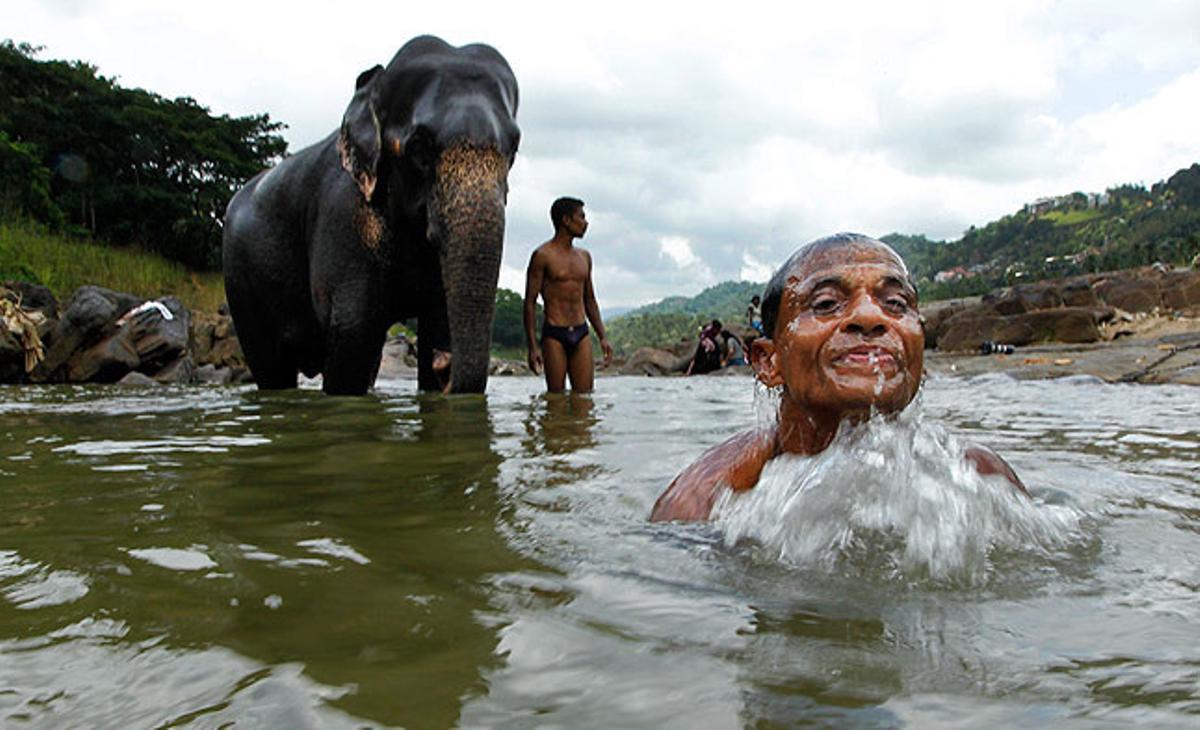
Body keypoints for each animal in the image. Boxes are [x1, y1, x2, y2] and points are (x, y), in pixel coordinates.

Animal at [222, 35, 519, 394]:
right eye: (418, 148)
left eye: (514, 148)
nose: (444, 364)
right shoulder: (343, 214)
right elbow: (354, 328)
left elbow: (439, 321)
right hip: (239, 276)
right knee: (271, 365)